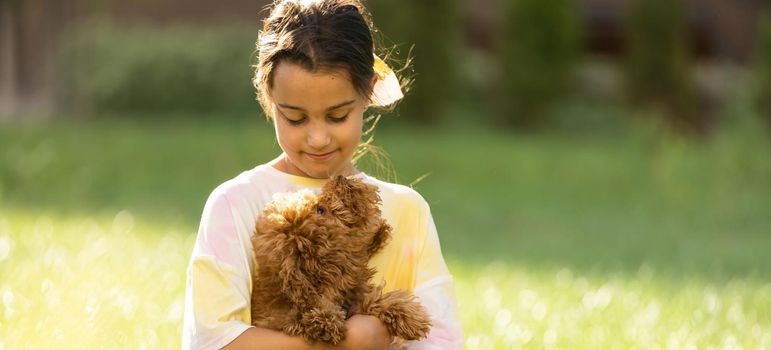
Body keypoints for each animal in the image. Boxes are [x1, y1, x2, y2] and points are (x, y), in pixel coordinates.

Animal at [250, 176, 432, 346]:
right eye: (321, 210)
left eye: (319, 206)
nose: (340, 178)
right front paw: (323, 320)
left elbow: (371, 301)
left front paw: (409, 316)